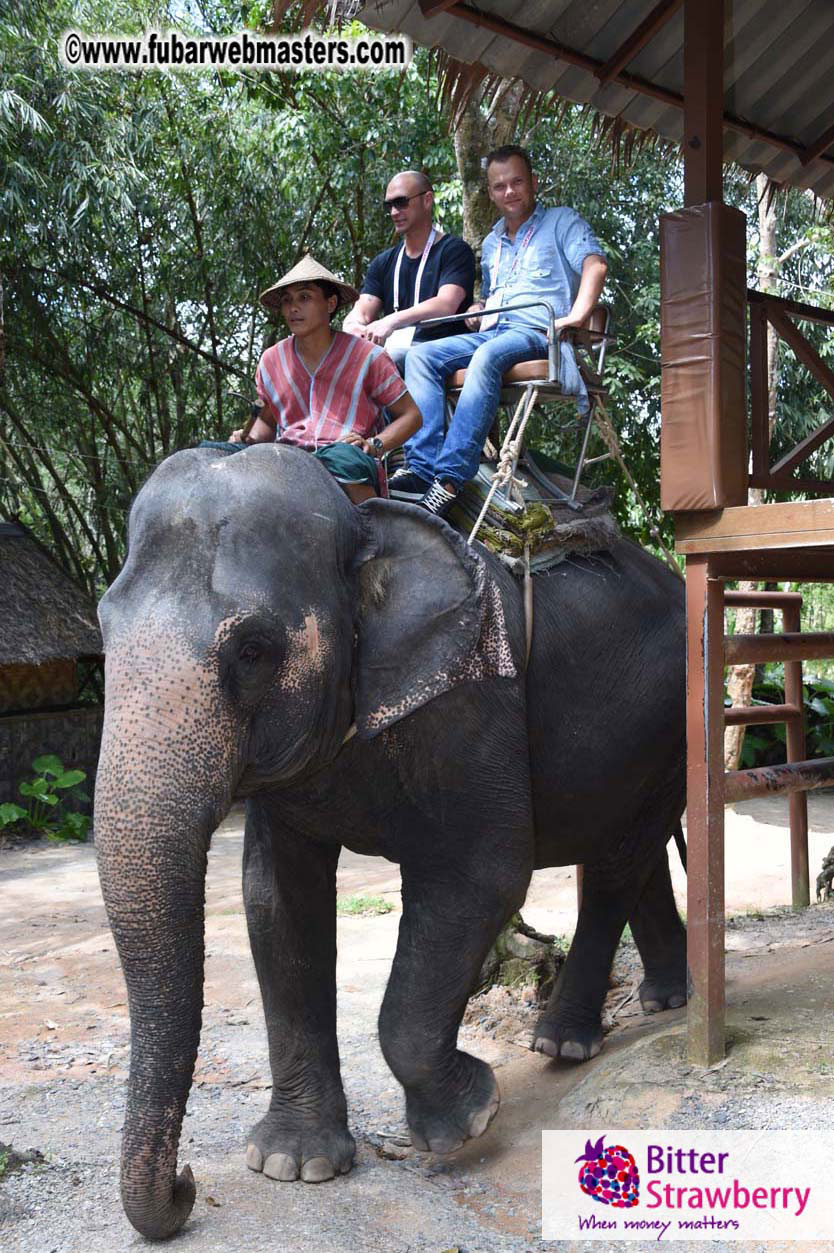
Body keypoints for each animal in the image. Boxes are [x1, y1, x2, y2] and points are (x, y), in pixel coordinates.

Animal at [94, 443, 687, 1240]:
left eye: (253, 649)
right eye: (101, 631)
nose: (188, 1185)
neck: (363, 522)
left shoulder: (474, 700)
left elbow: (484, 874)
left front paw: (472, 1113)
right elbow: (277, 901)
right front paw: (295, 1165)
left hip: (675, 714)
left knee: (619, 861)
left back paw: (560, 1044)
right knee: (631, 850)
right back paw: (663, 1000)